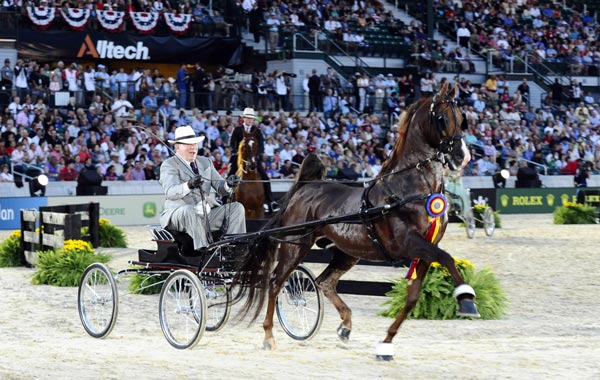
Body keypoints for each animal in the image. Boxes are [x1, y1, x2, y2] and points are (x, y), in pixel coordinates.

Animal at [233, 81, 478, 360]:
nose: (461, 156)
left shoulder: (425, 248)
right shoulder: (409, 242)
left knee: (324, 282)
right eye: (442, 118)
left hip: (347, 252)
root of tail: (305, 188)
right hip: (295, 245)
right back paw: (268, 336)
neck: (410, 189)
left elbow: (413, 297)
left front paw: (386, 343)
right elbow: (447, 258)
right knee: (276, 282)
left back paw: (345, 327)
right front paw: (467, 301)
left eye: (462, 118)